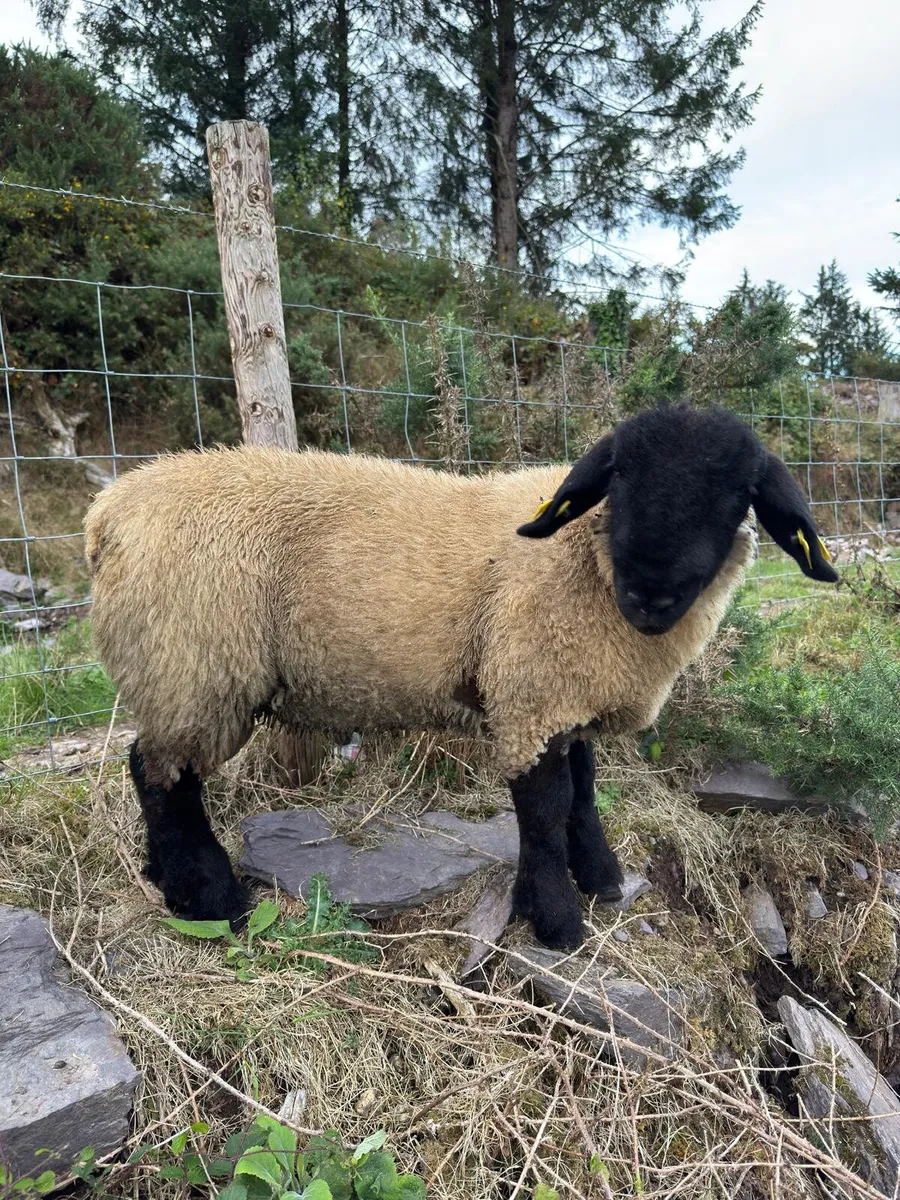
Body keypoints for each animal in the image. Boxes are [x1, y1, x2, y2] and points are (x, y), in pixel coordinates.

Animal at [84, 404, 839, 950]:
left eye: (737, 496)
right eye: (620, 477)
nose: (650, 595)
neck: (582, 557)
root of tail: (109, 514)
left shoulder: (562, 696)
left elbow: (584, 793)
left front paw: (601, 879)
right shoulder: (530, 694)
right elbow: (545, 810)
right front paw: (557, 921)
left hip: (181, 674)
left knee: (150, 768)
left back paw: (165, 877)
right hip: (194, 666)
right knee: (162, 776)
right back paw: (211, 901)